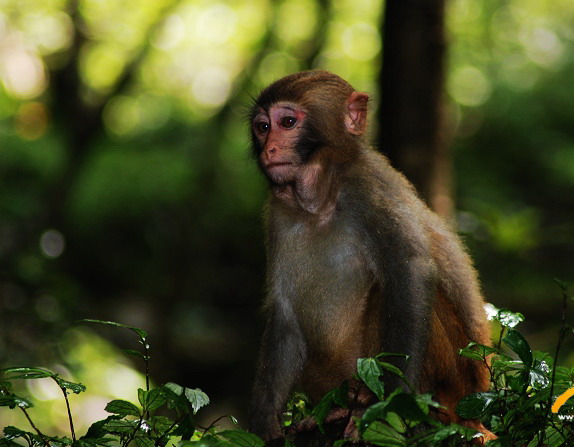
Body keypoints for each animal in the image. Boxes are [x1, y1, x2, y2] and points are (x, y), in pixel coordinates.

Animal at [248, 71, 496, 444]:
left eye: (287, 122)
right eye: (263, 127)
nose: (269, 149)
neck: (319, 199)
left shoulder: (368, 186)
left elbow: (409, 272)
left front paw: (388, 405)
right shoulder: (277, 213)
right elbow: (285, 313)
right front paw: (265, 423)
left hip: (455, 383)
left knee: (390, 291)